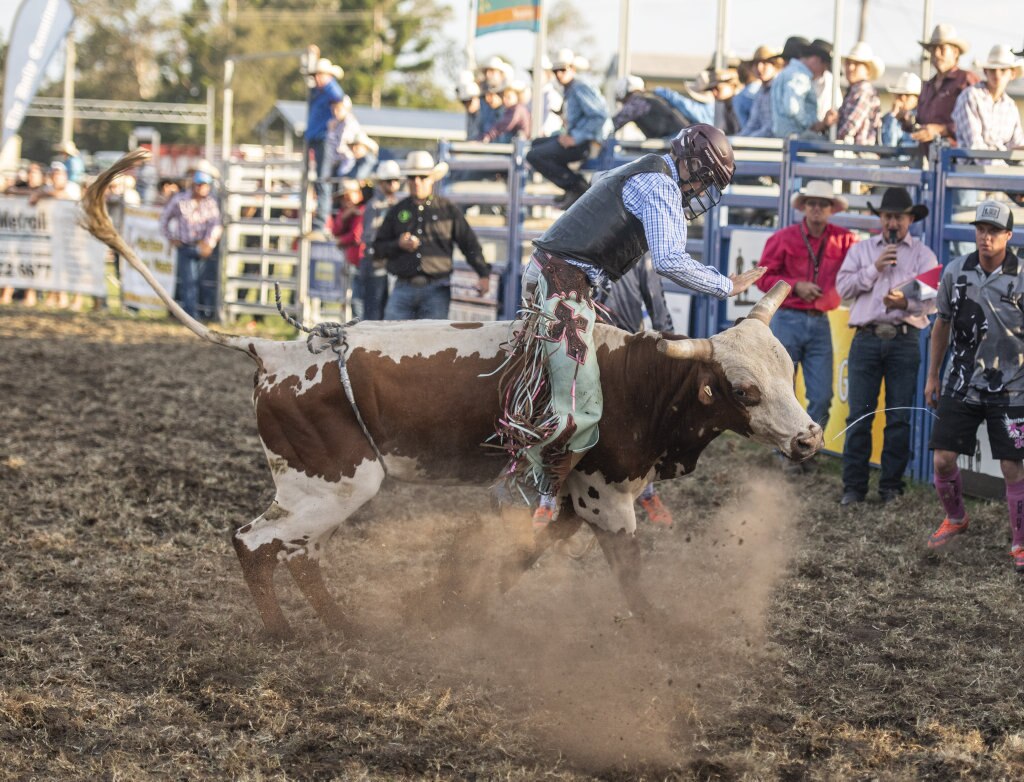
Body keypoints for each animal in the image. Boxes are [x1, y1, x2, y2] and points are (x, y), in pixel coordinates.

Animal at [81, 149, 823, 638]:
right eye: (742, 390)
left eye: (788, 372)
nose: (811, 438)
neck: (639, 378)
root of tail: (276, 349)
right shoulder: (602, 496)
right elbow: (627, 573)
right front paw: (666, 631)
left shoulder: (567, 500)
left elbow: (520, 553)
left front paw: (451, 606)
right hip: (334, 482)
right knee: (254, 542)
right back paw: (285, 634)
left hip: (319, 490)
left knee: (298, 552)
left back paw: (345, 627)